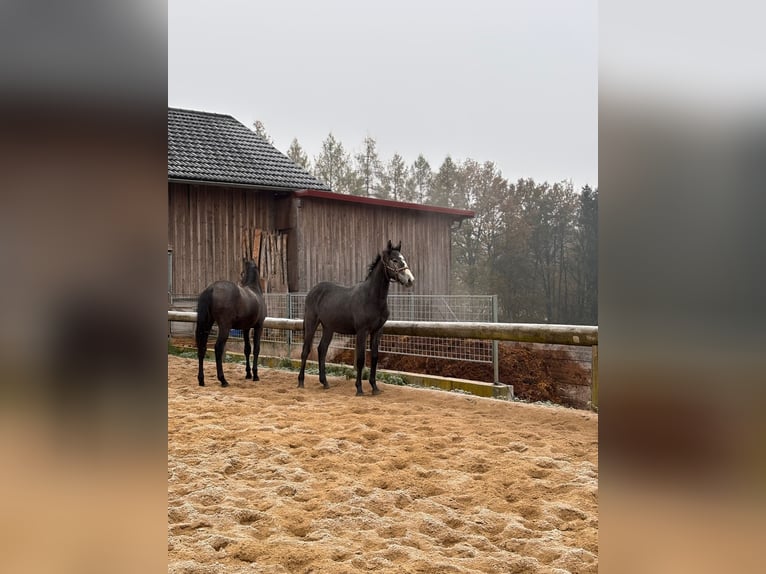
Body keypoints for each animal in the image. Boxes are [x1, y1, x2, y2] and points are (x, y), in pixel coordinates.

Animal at [195, 260, 268, 388]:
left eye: (242, 273)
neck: (254, 290)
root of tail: (211, 289)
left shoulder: (245, 329)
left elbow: (247, 349)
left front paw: (248, 374)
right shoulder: (259, 326)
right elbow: (256, 349)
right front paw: (255, 375)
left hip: (207, 325)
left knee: (202, 348)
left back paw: (201, 380)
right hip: (225, 327)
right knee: (218, 348)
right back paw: (223, 380)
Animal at [298, 242, 416, 396]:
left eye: (404, 258)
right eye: (394, 260)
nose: (410, 280)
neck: (372, 297)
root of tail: (313, 291)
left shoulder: (377, 331)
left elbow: (374, 357)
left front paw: (375, 388)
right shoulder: (362, 331)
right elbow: (360, 359)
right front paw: (359, 389)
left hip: (328, 328)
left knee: (322, 349)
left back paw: (325, 382)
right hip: (311, 322)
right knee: (306, 350)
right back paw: (301, 382)